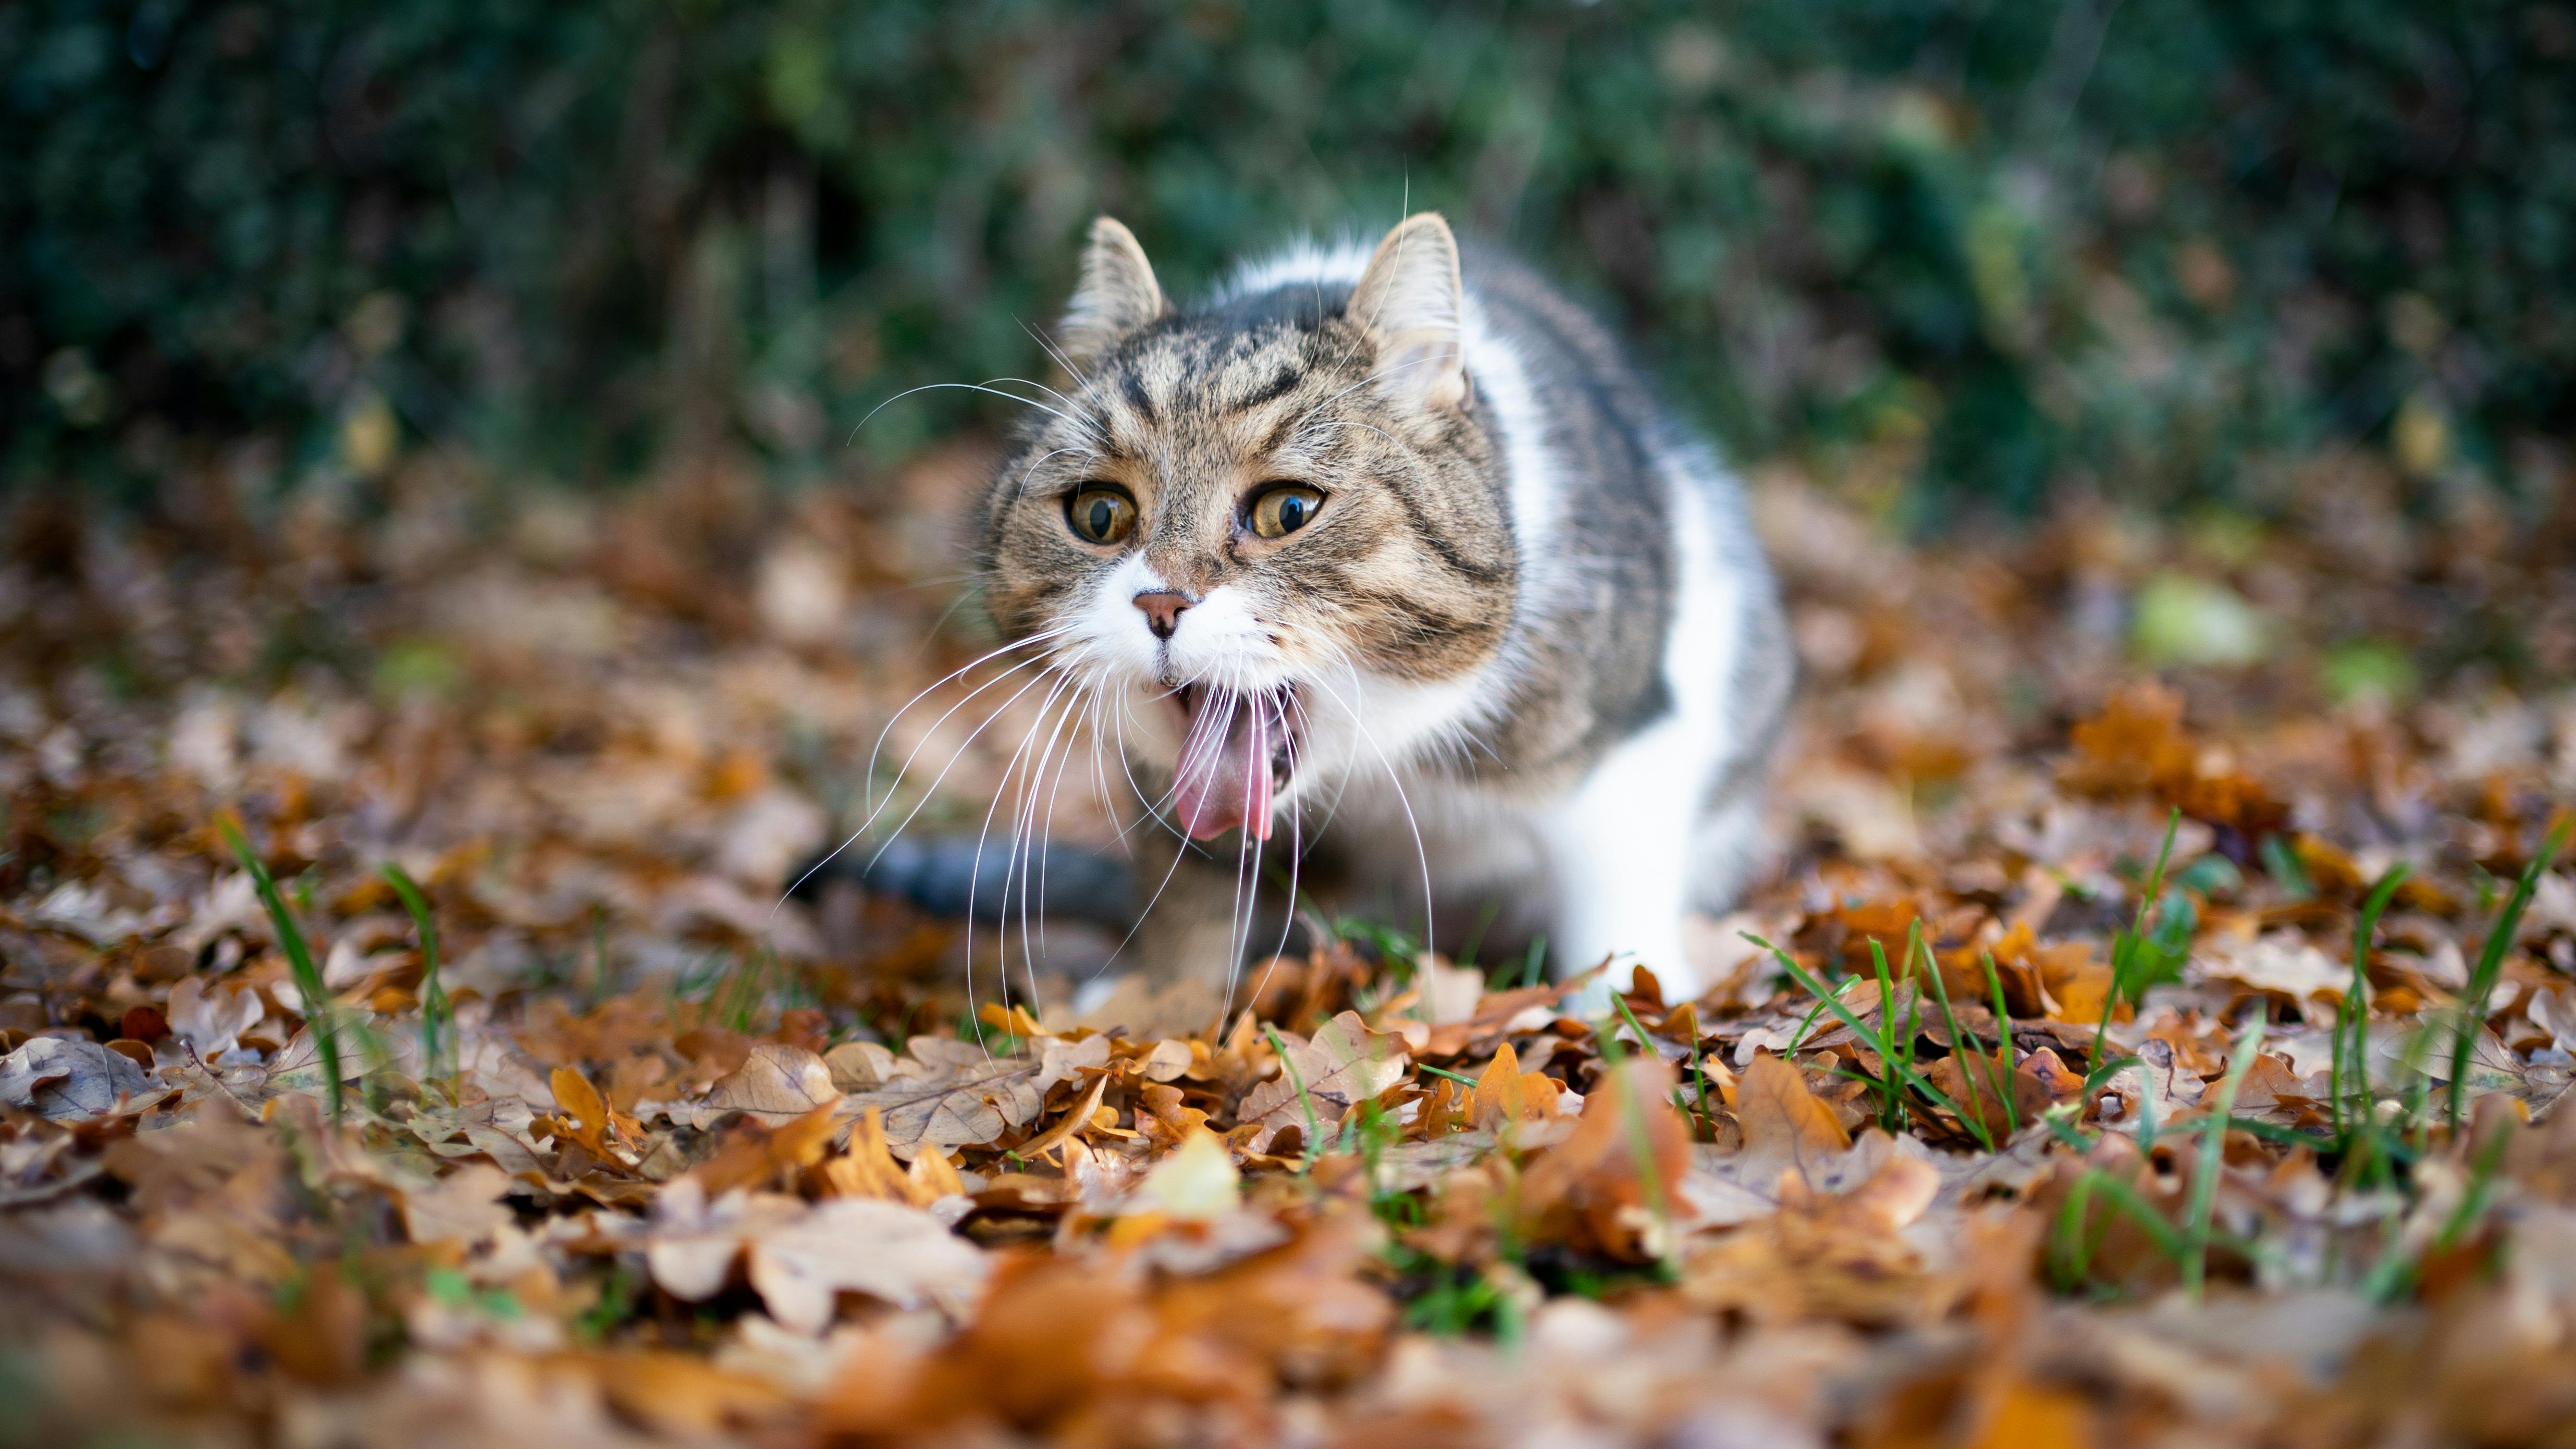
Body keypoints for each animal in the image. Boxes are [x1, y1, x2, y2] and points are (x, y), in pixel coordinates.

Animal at [958, 214, 1782, 1000]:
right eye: (1099, 515)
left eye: (1288, 509)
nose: (1160, 601)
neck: (1375, 759)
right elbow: (1190, 890)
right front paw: (1161, 1002)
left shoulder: (1632, 734)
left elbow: (1615, 891)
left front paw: (1629, 1006)